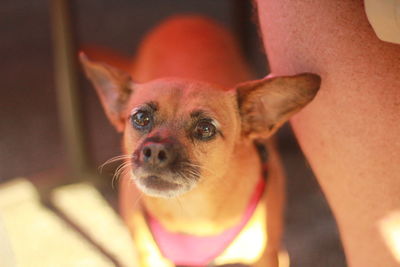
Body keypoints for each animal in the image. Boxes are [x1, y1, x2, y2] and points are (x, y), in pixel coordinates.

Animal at [79, 15, 320, 267]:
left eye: (205, 128)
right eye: (141, 118)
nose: (154, 151)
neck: (192, 213)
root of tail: (184, 18)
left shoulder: (265, 256)